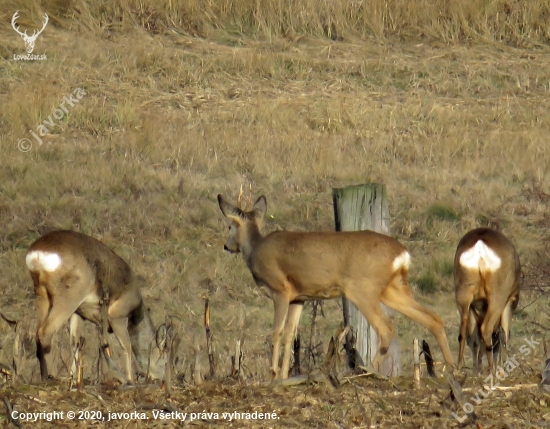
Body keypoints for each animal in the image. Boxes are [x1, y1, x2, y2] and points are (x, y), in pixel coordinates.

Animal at [25, 229, 167, 382]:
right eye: (166, 359)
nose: (166, 379)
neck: (136, 311)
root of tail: (38, 254)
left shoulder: (80, 314)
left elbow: (78, 343)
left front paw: (74, 377)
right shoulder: (117, 315)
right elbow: (126, 347)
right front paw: (129, 380)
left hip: (42, 294)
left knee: (39, 333)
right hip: (69, 294)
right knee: (45, 332)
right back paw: (52, 376)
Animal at [218, 193, 454, 378]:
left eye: (229, 226)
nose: (227, 246)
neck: (255, 249)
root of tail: (402, 254)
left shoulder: (280, 290)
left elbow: (276, 332)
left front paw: (273, 375)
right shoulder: (299, 298)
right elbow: (289, 334)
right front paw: (284, 376)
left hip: (361, 288)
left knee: (386, 328)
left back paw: (367, 371)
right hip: (392, 289)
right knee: (433, 318)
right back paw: (452, 367)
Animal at [454, 227, 524, 372]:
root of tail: (480, 247)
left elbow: (475, 339)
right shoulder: (511, 300)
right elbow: (504, 333)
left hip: (463, 295)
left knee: (464, 333)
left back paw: (459, 368)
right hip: (497, 297)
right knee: (487, 329)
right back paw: (492, 369)